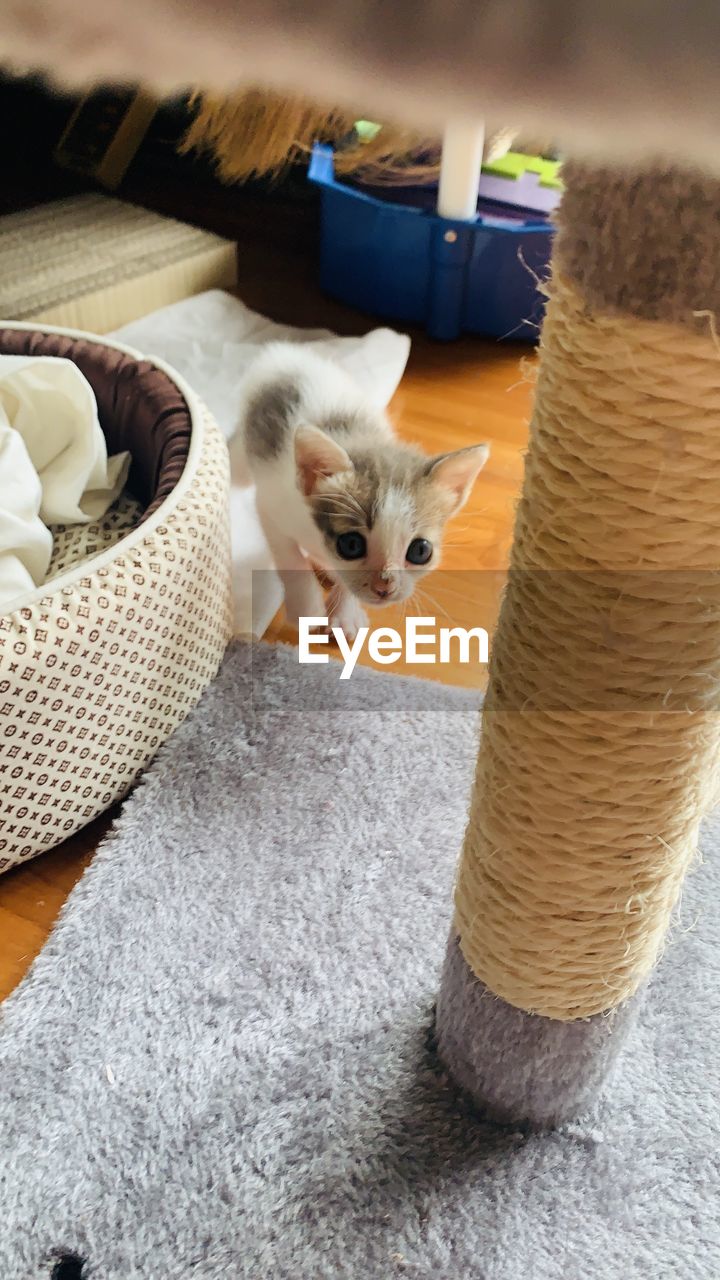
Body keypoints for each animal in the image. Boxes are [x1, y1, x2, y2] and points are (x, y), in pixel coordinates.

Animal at [235, 343, 486, 637]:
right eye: (351, 545)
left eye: (420, 551)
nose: (384, 588)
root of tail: (288, 350)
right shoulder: (273, 504)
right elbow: (290, 559)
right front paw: (305, 608)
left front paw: (344, 612)